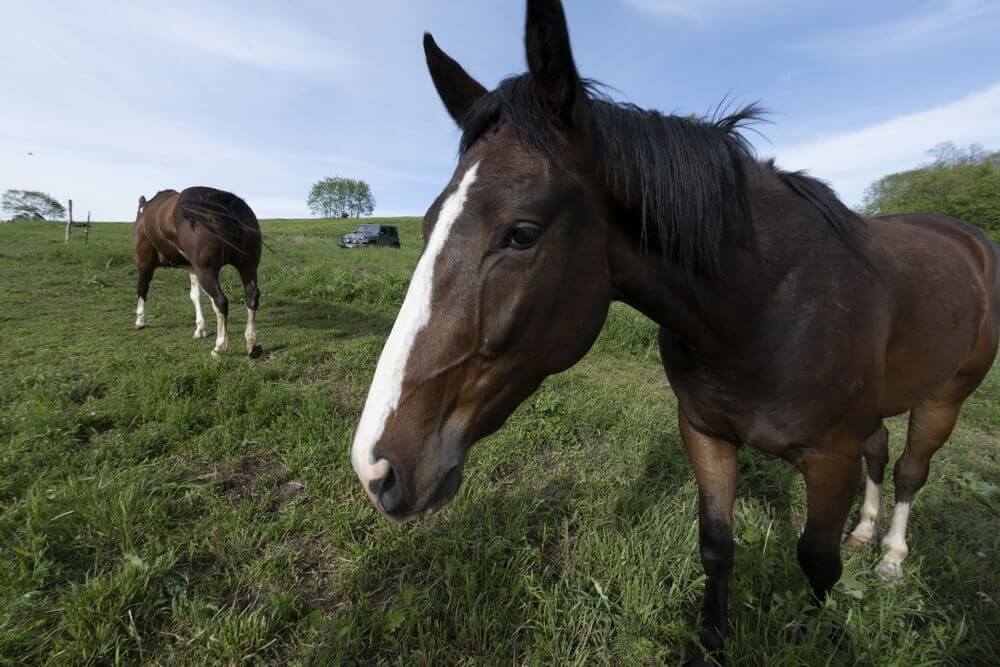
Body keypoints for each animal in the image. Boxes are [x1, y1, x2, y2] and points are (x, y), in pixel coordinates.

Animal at [133, 185, 262, 358]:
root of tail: (225, 203)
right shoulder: (193, 269)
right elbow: (195, 296)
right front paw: (200, 328)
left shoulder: (144, 262)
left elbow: (142, 288)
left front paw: (140, 320)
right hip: (248, 267)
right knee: (251, 297)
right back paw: (251, 342)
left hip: (207, 271)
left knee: (220, 301)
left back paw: (220, 346)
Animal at [350, 0, 1000, 656]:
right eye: (428, 223)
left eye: (522, 233)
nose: (375, 468)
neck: (766, 307)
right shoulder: (705, 432)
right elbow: (716, 546)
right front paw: (710, 641)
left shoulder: (830, 457)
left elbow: (818, 562)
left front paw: (819, 637)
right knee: (882, 451)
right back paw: (865, 532)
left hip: (944, 398)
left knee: (910, 470)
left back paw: (890, 556)